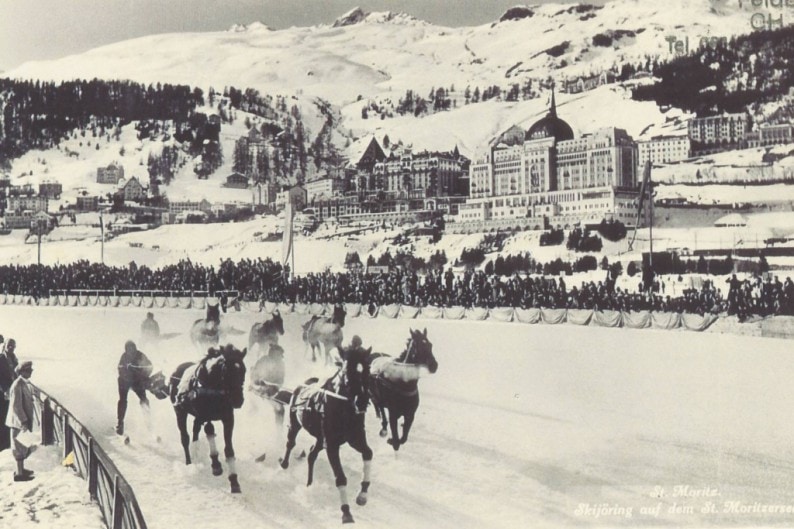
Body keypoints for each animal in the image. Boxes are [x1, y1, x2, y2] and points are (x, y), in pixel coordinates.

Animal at [170, 342, 248, 490]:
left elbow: (229, 449)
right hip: (180, 411)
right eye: (226, 370)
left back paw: (196, 451)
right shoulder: (204, 415)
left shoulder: (228, 418)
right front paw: (216, 464)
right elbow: (210, 430)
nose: (238, 400)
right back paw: (189, 462)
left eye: (244, 370)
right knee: (185, 437)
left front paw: (234, 480)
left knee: (195, 429)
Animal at [280, 344, 372, 520]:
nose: (362, 402)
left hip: (320, 438)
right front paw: (346, 512)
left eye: (366, 370)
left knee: (311, 454)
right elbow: (341, 477)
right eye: (346, 372)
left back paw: (309, 484)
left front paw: (363, 495)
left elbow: (368, 453)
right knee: (290, 441)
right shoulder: (332, 445)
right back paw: (284, 463)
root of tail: (303, 385)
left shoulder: (355, 438)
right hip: (295, 423)